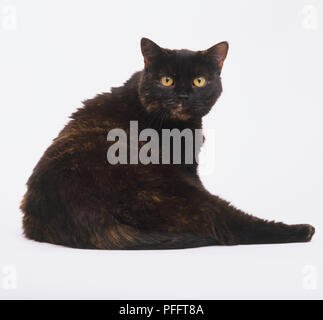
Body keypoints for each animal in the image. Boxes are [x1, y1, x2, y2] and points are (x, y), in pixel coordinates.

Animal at [19, 38, 316, 250]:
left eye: (199, 80)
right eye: (167, 80)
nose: (183, 95)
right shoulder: (187, 171)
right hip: (174, 193)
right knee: (228, 226)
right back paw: (303, 230)